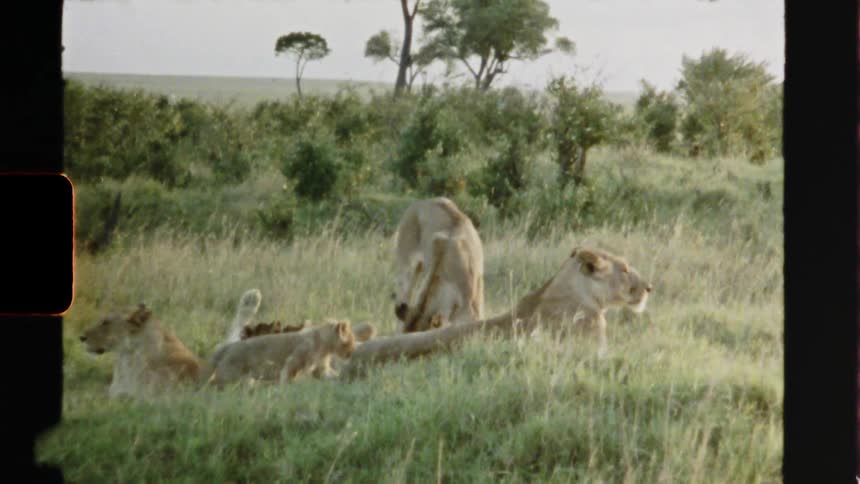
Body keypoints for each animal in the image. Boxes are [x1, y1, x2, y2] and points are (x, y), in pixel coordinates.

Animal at [202, 319, 358, 386]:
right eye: (351, 339)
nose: (353, 351)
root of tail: (226, 348)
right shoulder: (293, 361)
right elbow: (288, 376)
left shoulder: (321, 367)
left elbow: (331, 375)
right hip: (231, 375)